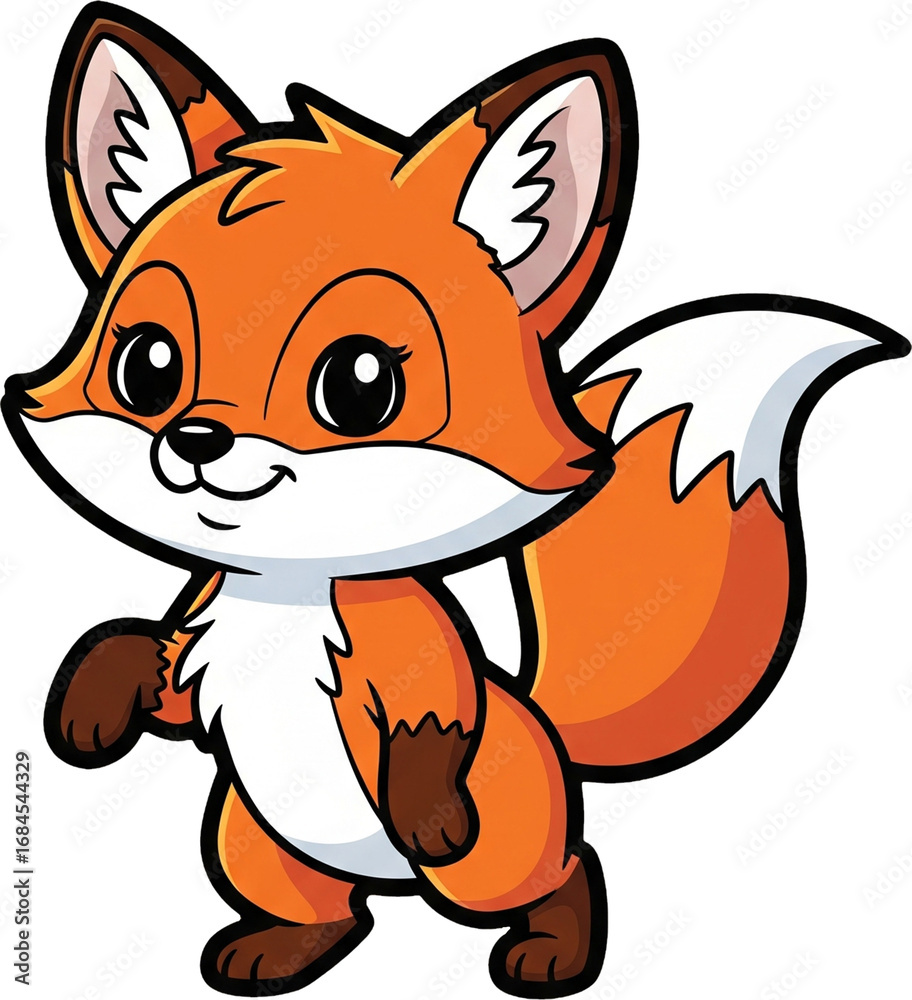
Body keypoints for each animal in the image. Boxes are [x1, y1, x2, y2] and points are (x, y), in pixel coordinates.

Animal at [3, 3, 908, 998]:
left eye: (359, 385)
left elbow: (432, 729)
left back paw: (549, 952)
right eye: (148, 367)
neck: (286, 595)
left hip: (492, 862)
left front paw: (429, 811)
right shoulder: (200, 641)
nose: (196, 441)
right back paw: (276, 950)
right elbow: (142, 656)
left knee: (565, 871)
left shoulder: (414, 666)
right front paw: (89, 706)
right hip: (250, 835)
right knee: (334, 913)